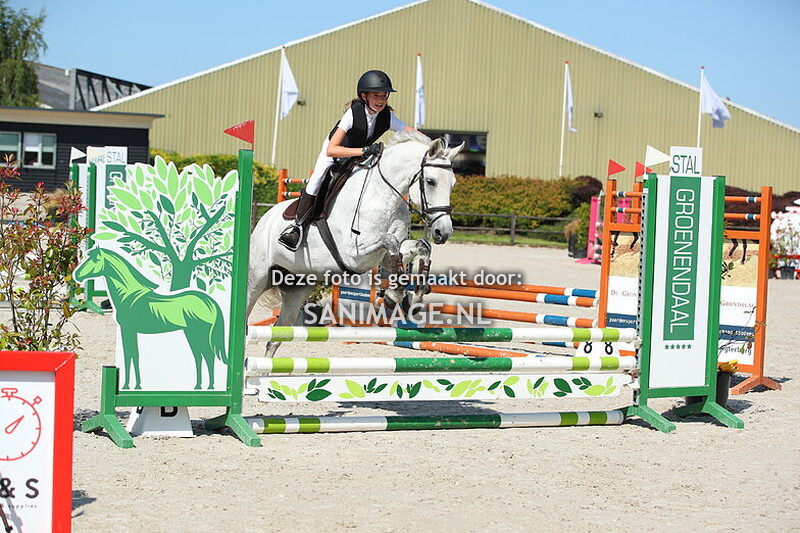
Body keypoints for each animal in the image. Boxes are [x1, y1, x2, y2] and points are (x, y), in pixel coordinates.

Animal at [74, 247, 228, 390]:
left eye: (94, 259)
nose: (77, 274)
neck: (128, 295)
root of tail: (210, 302)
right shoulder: (130, 331)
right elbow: (134, 354)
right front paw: (136, 385)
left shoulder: (127, 329)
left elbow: (130, 355)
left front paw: (128, 385)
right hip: (190, 333)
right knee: (199, 356)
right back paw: (198, 386)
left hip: (198, 333)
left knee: (208, 356)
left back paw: (209, 387)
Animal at [248, 131, 462, 356]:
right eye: (430, 181)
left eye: (453, 183)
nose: (443, 232)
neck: (382, 196)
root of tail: (264, 220)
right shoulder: (354, 254)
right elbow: (391, 241)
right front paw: (394, 295)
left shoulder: (384, 254)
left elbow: (421, 247)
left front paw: (416, 296)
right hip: (256, 281)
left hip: (297, 289)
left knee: (275, 339)